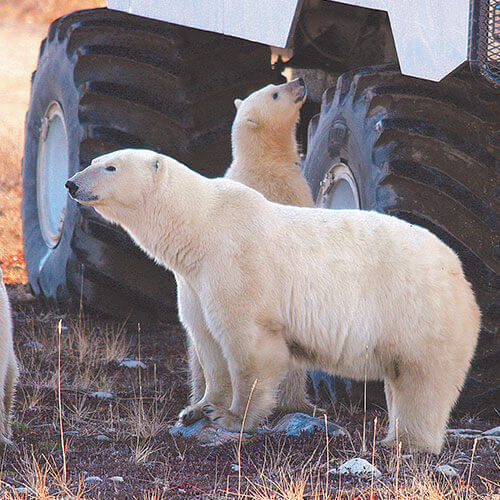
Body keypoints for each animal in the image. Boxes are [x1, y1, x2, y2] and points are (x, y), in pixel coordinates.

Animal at [66, 149, 480, 454]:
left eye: (110, 166)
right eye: (94, 160)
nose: (72, 183)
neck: (201, 228)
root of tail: (459, 271)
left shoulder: (237, 264)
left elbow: (248, 344)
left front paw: (233, 418)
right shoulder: (194, 282)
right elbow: (208, 343)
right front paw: (196, 409)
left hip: (415, 310)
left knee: (422, 380)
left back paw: (406, 443)